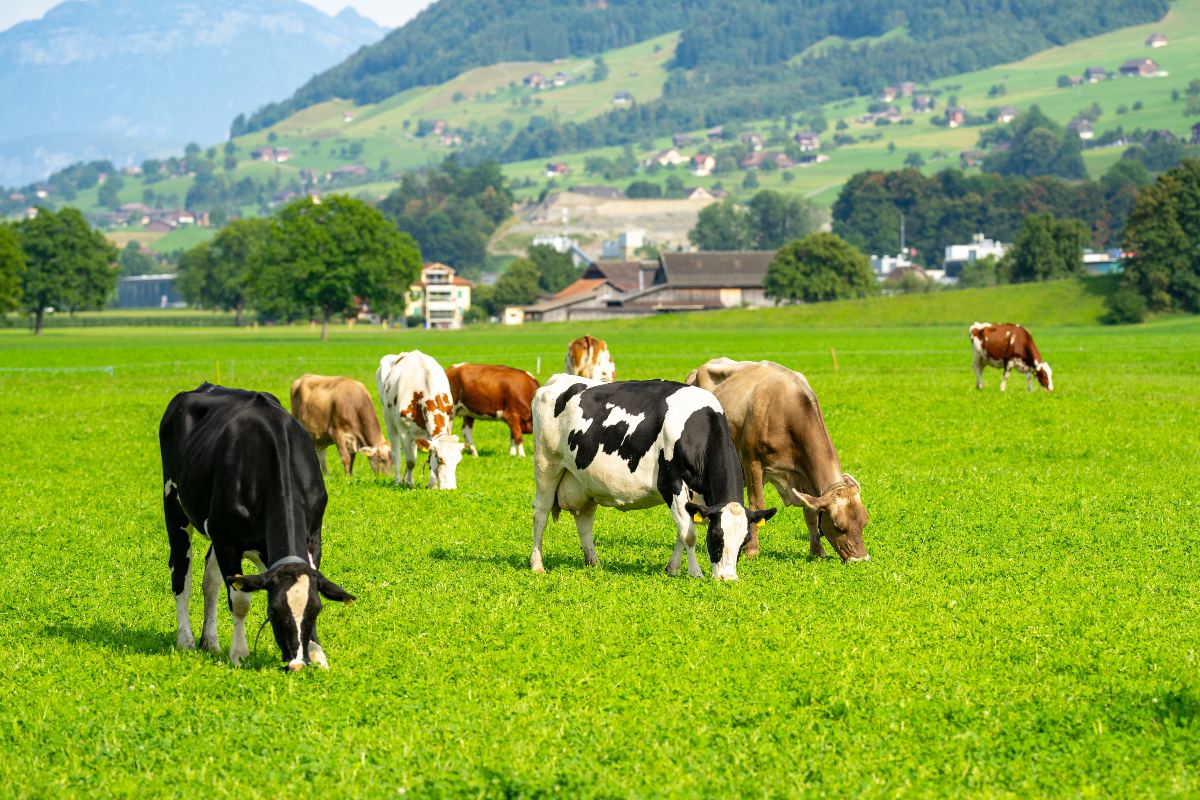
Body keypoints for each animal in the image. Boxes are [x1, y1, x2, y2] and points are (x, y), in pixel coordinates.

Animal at [159, 383, 355, 671]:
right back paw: (186, 640)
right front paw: (239, 654)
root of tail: (205, 386)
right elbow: (240, 601)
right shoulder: (228, 540)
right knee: (182, 571)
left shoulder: (313, 536)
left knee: (211, 580)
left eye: (316, 610)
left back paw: (211, 641)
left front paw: (317, 652)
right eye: (273, 612)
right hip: (174, 505)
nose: (297, 664)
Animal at [376, 347, 465, 489]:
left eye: (458, 461)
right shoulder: (404, 431)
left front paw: (432, 485)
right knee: (396, 454)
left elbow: (428, 456)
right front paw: (409, 483)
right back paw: (398, 481)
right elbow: (411, 460)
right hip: (388, 419)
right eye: (440, 459)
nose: (450, 489)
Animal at [528, 376, 772, 582]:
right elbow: (689, 534)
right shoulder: (672, 483)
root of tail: (556, 380)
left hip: (584, 482)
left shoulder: (697, 497)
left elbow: (683, 530)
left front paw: (673, 568)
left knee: (584, 520)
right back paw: (537, 565)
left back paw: (594, 563)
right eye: (715, 537)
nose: (727, 578)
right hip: (546, 465)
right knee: (541, 513)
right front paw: (695, 573)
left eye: (744, 541)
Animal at [686, 357, 873, 563]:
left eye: (864, 522)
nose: (860, 559)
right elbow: (756, 504)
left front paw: (817, 550)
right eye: (839, 526)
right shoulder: (752, 462)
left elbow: (810, 512)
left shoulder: (803, 476)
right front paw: (752, 550)